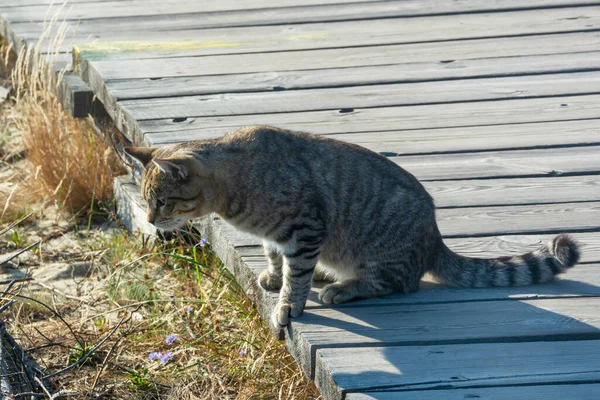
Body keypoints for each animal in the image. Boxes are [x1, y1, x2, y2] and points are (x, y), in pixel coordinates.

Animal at [125, 125, 580, 328]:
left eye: (161, 201)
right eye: (147, 202)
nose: (149, 219)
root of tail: (435, 238)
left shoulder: (305, 227)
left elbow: (296, 277)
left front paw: (288, 303)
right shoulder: (279, 237)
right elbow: (277, 257)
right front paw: (274, 275)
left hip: (379, 249)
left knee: (397, 283)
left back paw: (342, 287)